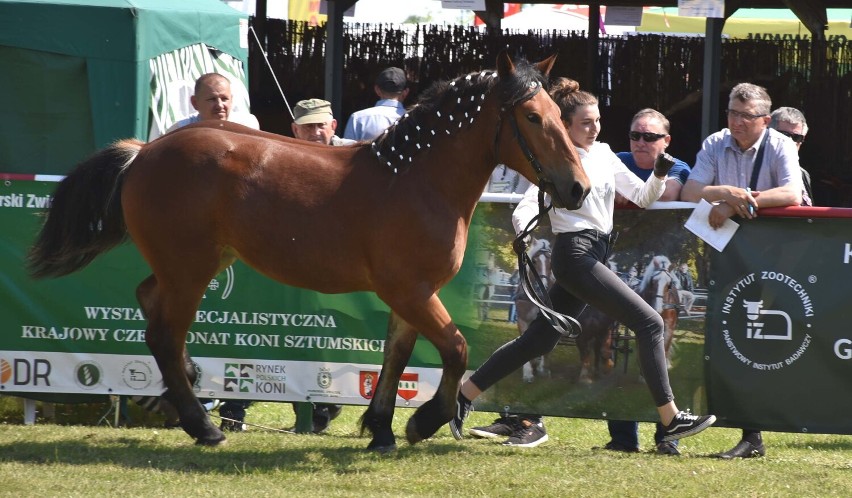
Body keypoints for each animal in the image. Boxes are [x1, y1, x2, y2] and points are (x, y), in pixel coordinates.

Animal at [26, 51, 588, 452]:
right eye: (533, 117)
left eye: (559, 114)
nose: (577, 188)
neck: (415, 179)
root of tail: (145, 152)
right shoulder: (411, 291)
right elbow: (456, 348)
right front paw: (424, 422)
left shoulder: (411, 295)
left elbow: (396, 355)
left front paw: (381, 429)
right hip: (189, 270)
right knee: (163, 332)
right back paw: (203, 424)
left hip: (193, 264)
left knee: (148, 302)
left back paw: (179, 389)